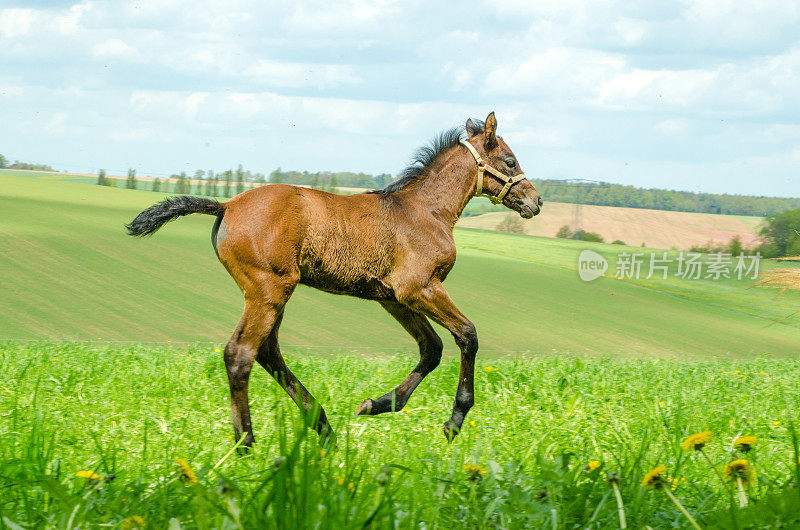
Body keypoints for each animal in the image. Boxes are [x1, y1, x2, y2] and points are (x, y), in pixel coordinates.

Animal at [126, 112, 544, 446]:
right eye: (510, 160)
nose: (536, 202)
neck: (425, 211)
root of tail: (227, 204)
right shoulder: (420, 288)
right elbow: (467, 335)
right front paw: (454, 421)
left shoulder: (392, 298)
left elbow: (432, 348)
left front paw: (377, 404)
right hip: (269, 289)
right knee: (241, 353)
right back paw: (247, 443)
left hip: (272, 292)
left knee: (267, 351)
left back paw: (322, 425)